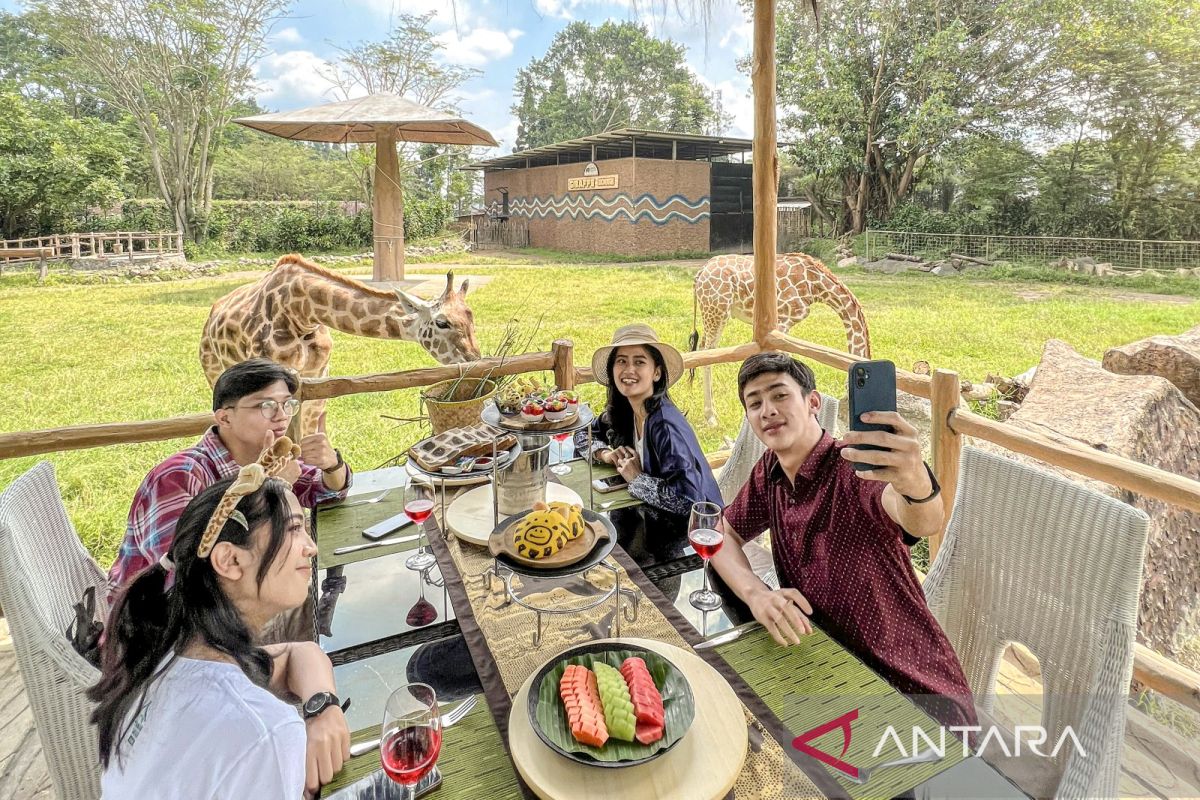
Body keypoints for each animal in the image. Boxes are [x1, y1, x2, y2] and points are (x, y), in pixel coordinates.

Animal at [201, 253, 477, 434]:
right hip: (215, 372)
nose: (475, 361)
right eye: (442, 322)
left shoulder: (318, 375)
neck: (303, 312)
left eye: (471, 316)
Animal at [696, 253, 873, 424]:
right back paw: (711, 417)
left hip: (711, 314)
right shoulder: (782, 321)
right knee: (707, 354)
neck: (815, 284)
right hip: (717, 312)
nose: (844, 423)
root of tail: (700, 273)